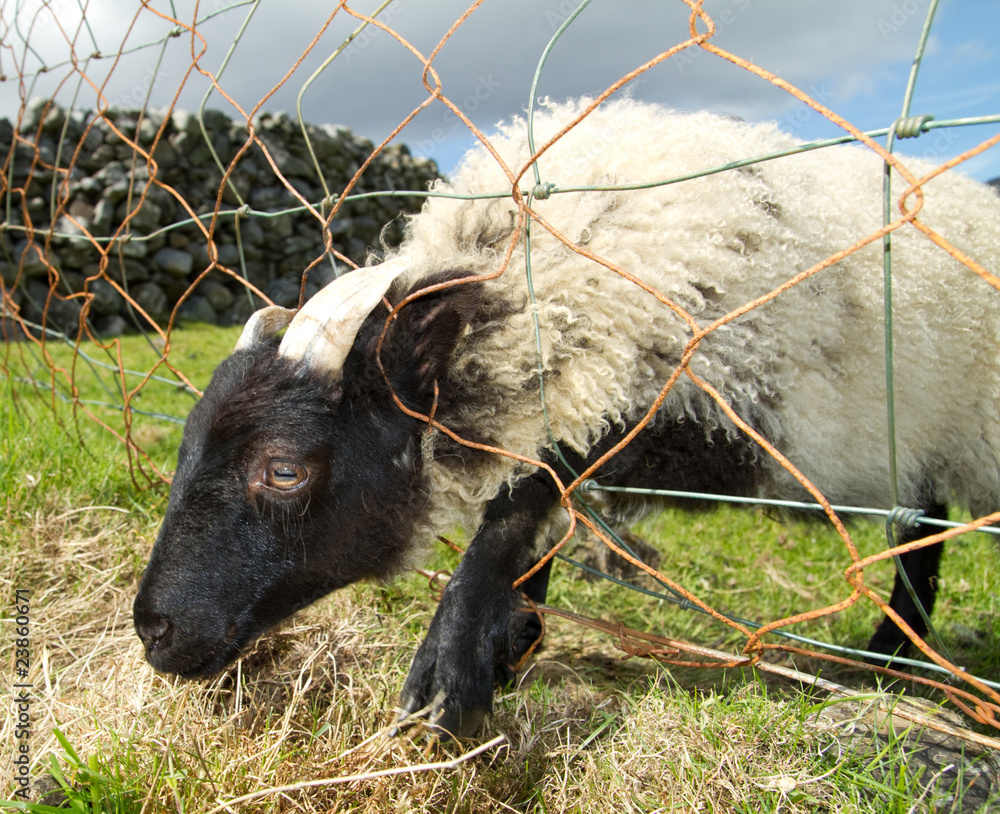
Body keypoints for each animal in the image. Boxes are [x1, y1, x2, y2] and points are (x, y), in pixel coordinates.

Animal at [133, 100, 1000, 740]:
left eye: (283, 468)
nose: (152, 631)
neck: (537, 282)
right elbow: (534, 513)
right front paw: (507, 644)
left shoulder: (636, 389)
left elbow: (518, 508)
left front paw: (450, 681)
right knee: (923, 526)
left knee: (923, 533)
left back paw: (895, 659)